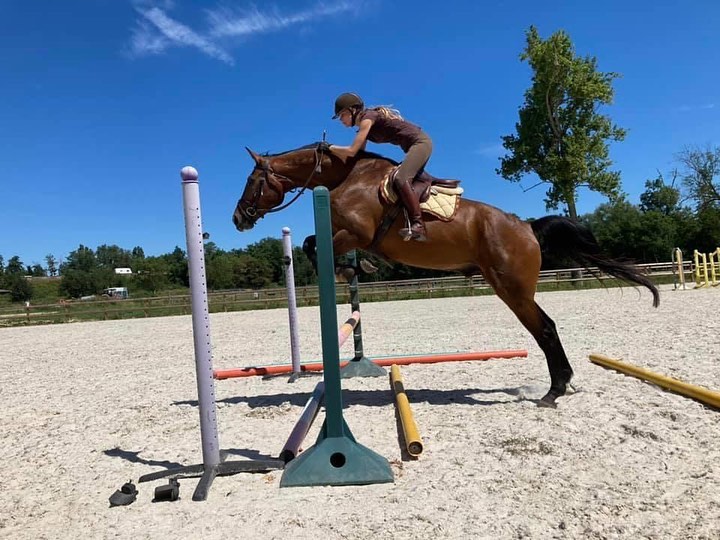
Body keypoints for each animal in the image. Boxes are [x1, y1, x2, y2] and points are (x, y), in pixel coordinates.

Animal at [233, 142, 660, 404]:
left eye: (252, 181)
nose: (238, 218)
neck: (346, 177)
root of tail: (527, 226)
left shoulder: (355, 233)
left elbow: (313, 247)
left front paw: (352, 268)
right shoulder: (345, 235)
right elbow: (310, 243)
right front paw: (358, 267)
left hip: (513, 290)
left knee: (545, 329)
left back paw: (554, 390)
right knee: (546, 329)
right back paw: (559, 386)